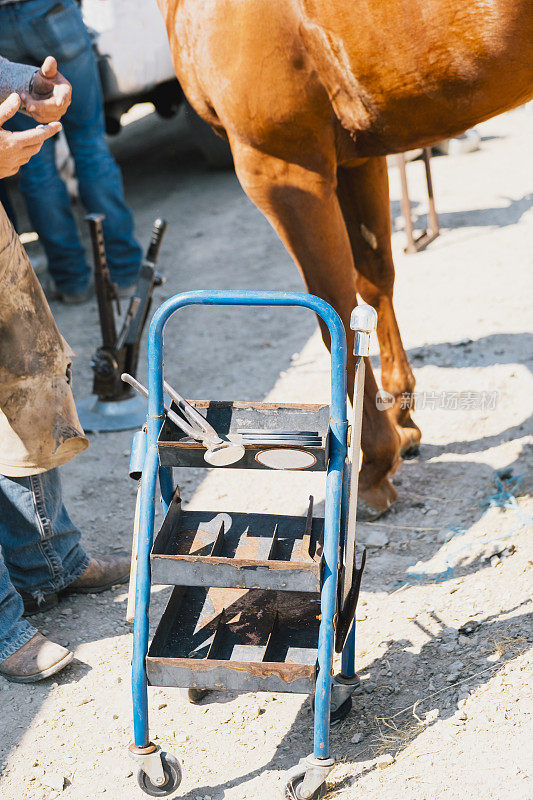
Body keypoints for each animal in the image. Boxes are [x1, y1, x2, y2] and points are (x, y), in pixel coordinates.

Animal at [156, 0, 528, 512]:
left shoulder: (283, 170)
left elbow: (334, 309)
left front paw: (372, 462)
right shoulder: (358, 155)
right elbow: (374, 279)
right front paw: (401, 418)